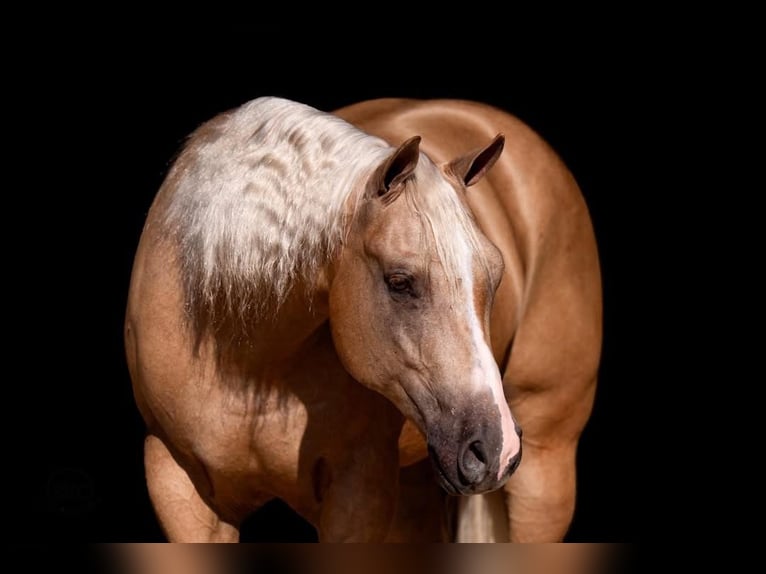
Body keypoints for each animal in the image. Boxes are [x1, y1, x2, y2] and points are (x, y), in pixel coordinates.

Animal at [124, 96, 601, 542]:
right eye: (399, 281)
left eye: (496, 275)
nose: (495, 448)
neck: (244, 363)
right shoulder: (180, 489)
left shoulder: (359, 497)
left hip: (544, 472)